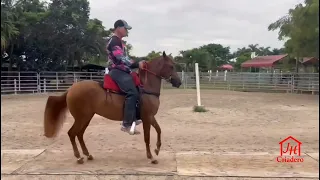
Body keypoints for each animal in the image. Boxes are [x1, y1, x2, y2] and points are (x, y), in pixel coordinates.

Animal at [43, 51, 181, 165]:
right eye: (171, 66)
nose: (178, 82)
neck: (146, 87)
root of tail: (71, 89)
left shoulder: (150, 117)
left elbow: (159, 130)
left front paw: (157, 149)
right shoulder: (147, 117)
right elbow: (147, 137)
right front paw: (151, 157)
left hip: (86, 117)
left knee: (79, 134)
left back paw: (88, 155)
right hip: (81, 118)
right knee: (72, 133)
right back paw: (79, 157)